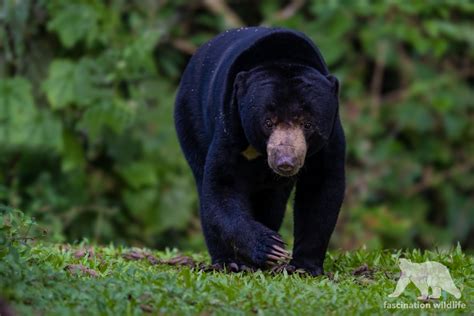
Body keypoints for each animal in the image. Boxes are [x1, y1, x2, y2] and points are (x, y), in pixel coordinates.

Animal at [174, 26, 344, 274]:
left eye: (307, 124)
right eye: (268, 122)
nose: (286, 161)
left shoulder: (329, 137)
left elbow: (321, 188)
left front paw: (303, 267)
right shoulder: (230, 125)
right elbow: (221, 186)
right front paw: (271, 247)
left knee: (272, 202)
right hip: (190, 119)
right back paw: (228, 261)